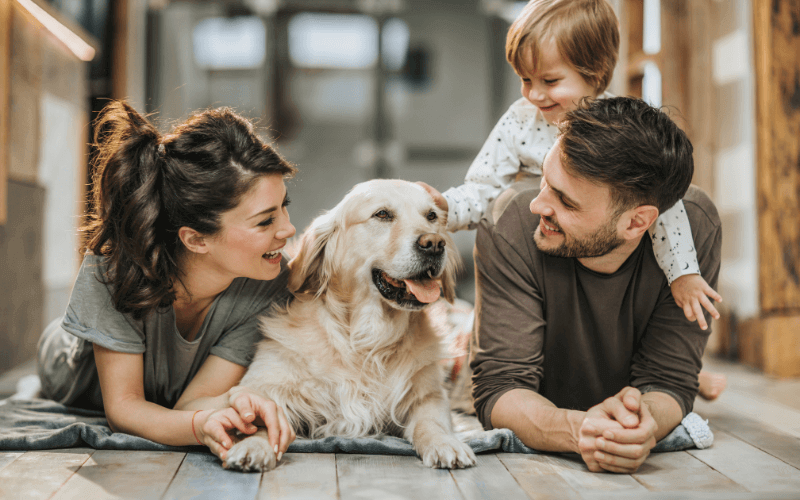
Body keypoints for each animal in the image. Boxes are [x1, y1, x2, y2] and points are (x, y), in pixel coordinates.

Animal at [222, 180, 478, 472]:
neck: (367, 339)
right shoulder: (266, 384)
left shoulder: (429, 395)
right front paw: (253, 446)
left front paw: (446, 443)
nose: (434, 243)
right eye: (382, 214)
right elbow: (263, 416)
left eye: (432, 216)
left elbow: (431, 422)